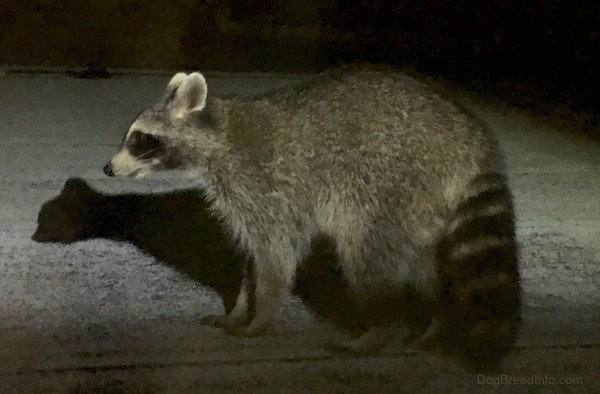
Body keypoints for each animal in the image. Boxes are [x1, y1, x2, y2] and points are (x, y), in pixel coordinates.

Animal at [104, 70, 520, 366]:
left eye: (139, 140)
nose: (107, 169)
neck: (219, 131)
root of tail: (468, 137)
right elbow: (252, 260)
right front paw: (239, 308)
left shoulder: (266, 189)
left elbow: (275, 258)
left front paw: (259, 317)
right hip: (421, 205)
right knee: (421, 262)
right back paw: (436, 318)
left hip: (389, 184)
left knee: (367, 256)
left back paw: (379, 328)